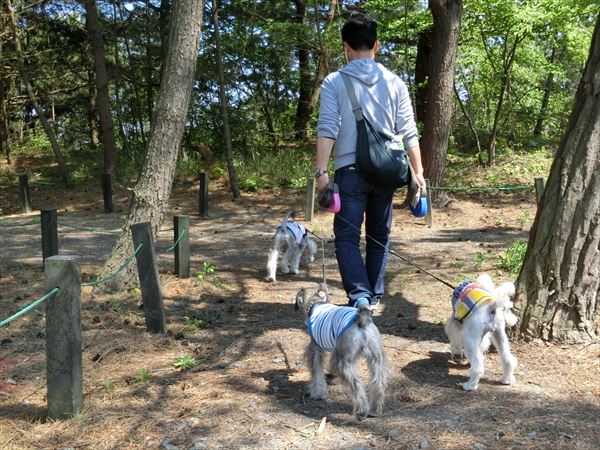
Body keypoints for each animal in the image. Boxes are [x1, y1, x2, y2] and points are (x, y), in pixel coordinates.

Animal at [295, 283, 388, 419]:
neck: (317, 303)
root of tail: (362, 321)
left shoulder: (315, 350)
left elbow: (317, 372)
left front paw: (318, 393)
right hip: (377, 359)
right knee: (378, 382)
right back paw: (375, 409)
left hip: (344, 362)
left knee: (356, 385)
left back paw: (362, 410)